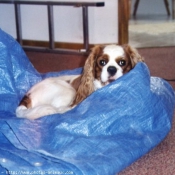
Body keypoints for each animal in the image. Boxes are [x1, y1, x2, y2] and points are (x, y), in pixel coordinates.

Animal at [15, 44, 144, 119]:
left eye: (122, 62)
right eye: (102, 62)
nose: (111, 69)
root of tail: (27, 95)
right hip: (68, 91)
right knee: (60, 110)